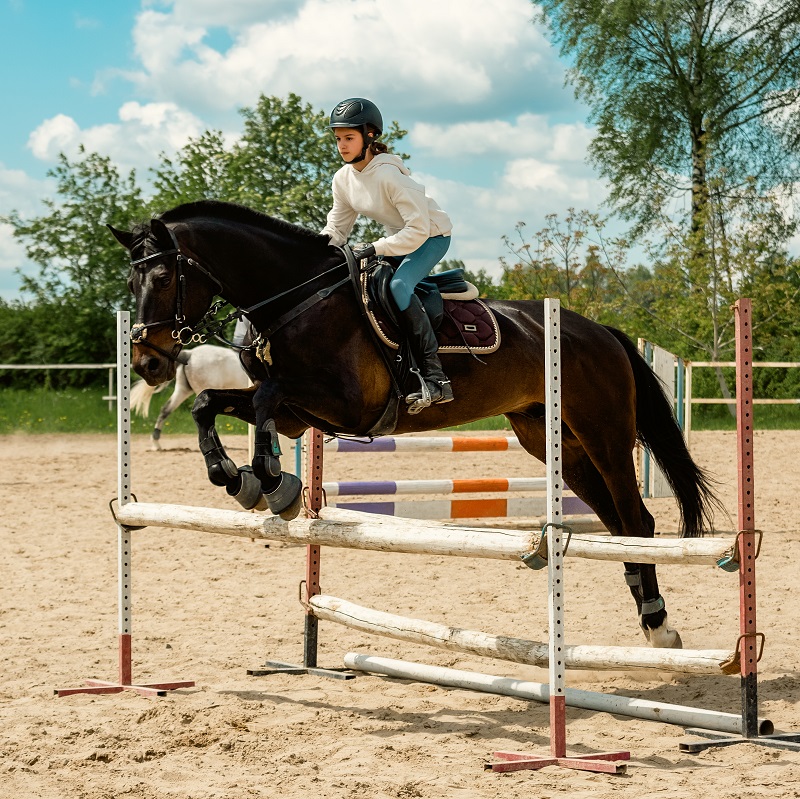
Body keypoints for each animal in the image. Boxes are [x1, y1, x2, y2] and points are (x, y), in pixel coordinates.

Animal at [108, 199, 719, 649]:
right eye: (131, 282)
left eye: (161, 276)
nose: (149, 363)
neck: (296, 300)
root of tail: (600, 331)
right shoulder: (298, 416)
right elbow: (212, 403)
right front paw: (240, 480)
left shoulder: (341, 404)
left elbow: (262, 398)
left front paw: (271, 480)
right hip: (553, 442)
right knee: (616, 523)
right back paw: (651, 619)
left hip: (603, 432)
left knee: (637, 519)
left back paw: (660, 626)